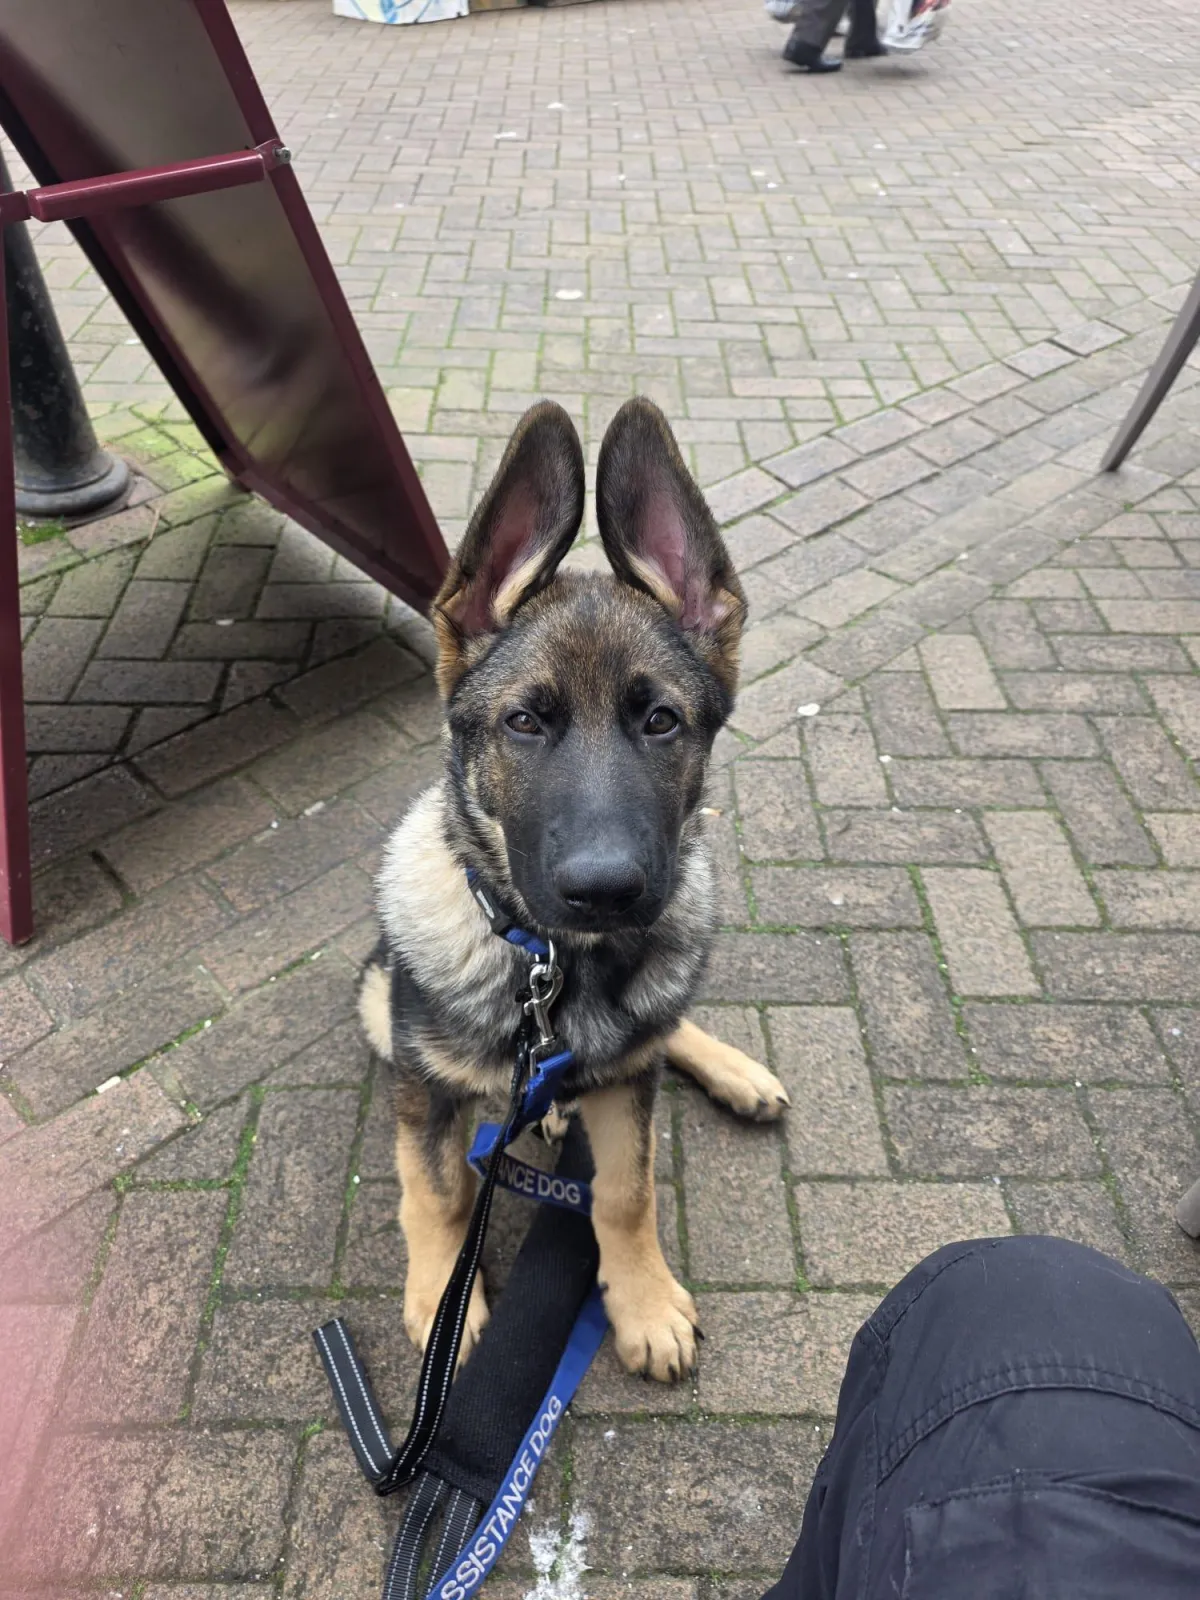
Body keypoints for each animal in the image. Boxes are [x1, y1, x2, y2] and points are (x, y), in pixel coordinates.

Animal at [358, 397, 790, 1383]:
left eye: (662, 721)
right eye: (524, 722)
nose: (606, 892)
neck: (557, 972)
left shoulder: (627, 1090)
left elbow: (625, 1194)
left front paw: (642, 1300)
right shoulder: (426, 1092)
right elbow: (435, 1193)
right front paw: (442, 1296)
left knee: (662, 1031)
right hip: (375, 1001)